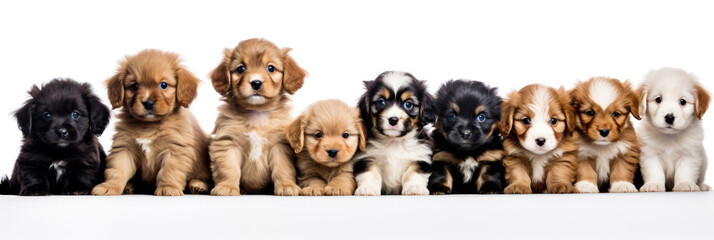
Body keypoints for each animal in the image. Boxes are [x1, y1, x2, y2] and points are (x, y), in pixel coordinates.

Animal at [90, 49, 210, 197]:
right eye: (134, 86)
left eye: (163, 85)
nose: (148, 103)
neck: (149, 125)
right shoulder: (124, 147)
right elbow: (117, 169)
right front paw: (110, 186)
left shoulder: (175, 149)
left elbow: (169, 171)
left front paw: (167, 187)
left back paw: (198, 185)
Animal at [207, 37, 304, 195]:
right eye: (241, 69)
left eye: (271, 68)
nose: (256, 83)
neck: (257, 114)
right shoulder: (228, 142)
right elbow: (229, 168)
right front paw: (227, 187)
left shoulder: (280, 145)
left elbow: (283, 167)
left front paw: (286, 185)